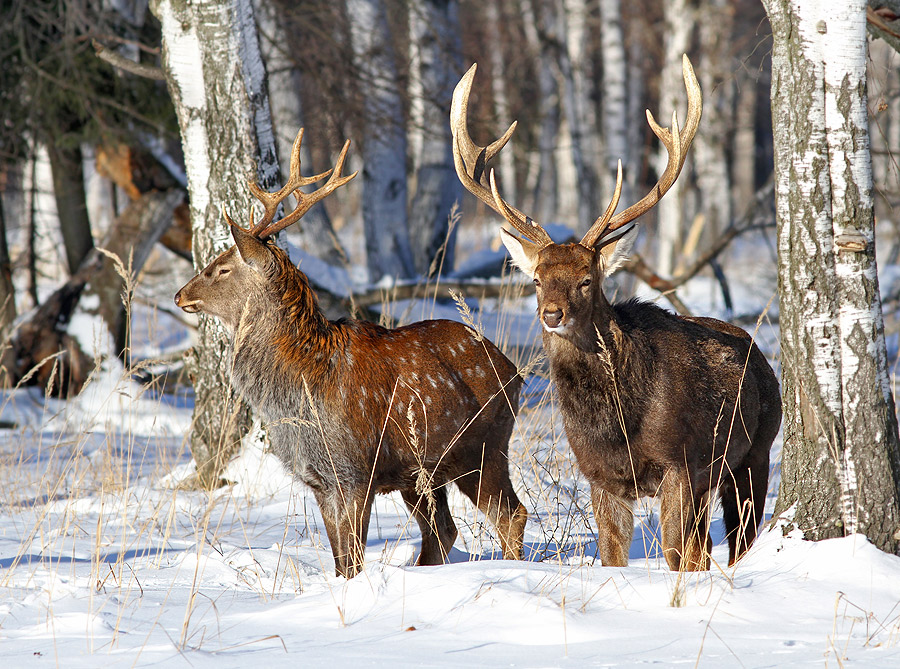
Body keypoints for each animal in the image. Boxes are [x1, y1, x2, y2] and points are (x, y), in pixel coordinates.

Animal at [174, 129, 528, 576]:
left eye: (221, 268)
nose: (180, 294)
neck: (300, 389)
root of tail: (515, 370)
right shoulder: (321, 480)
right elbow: (342, 562)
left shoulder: (357, 470)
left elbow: (354, 560)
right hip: (422, 473)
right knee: (443, 532)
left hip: (484, 447)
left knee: (511, 514)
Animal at [450, 54, 780, 572]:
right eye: (537, 279)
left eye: (588, 279)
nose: (552, 314)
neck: (618, 423)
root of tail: (760, 352)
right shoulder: (599, 476)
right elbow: (613, 556)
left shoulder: (679, 463)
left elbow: (675, 553)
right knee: (708, 546)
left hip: (755, 453)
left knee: (735, 538)